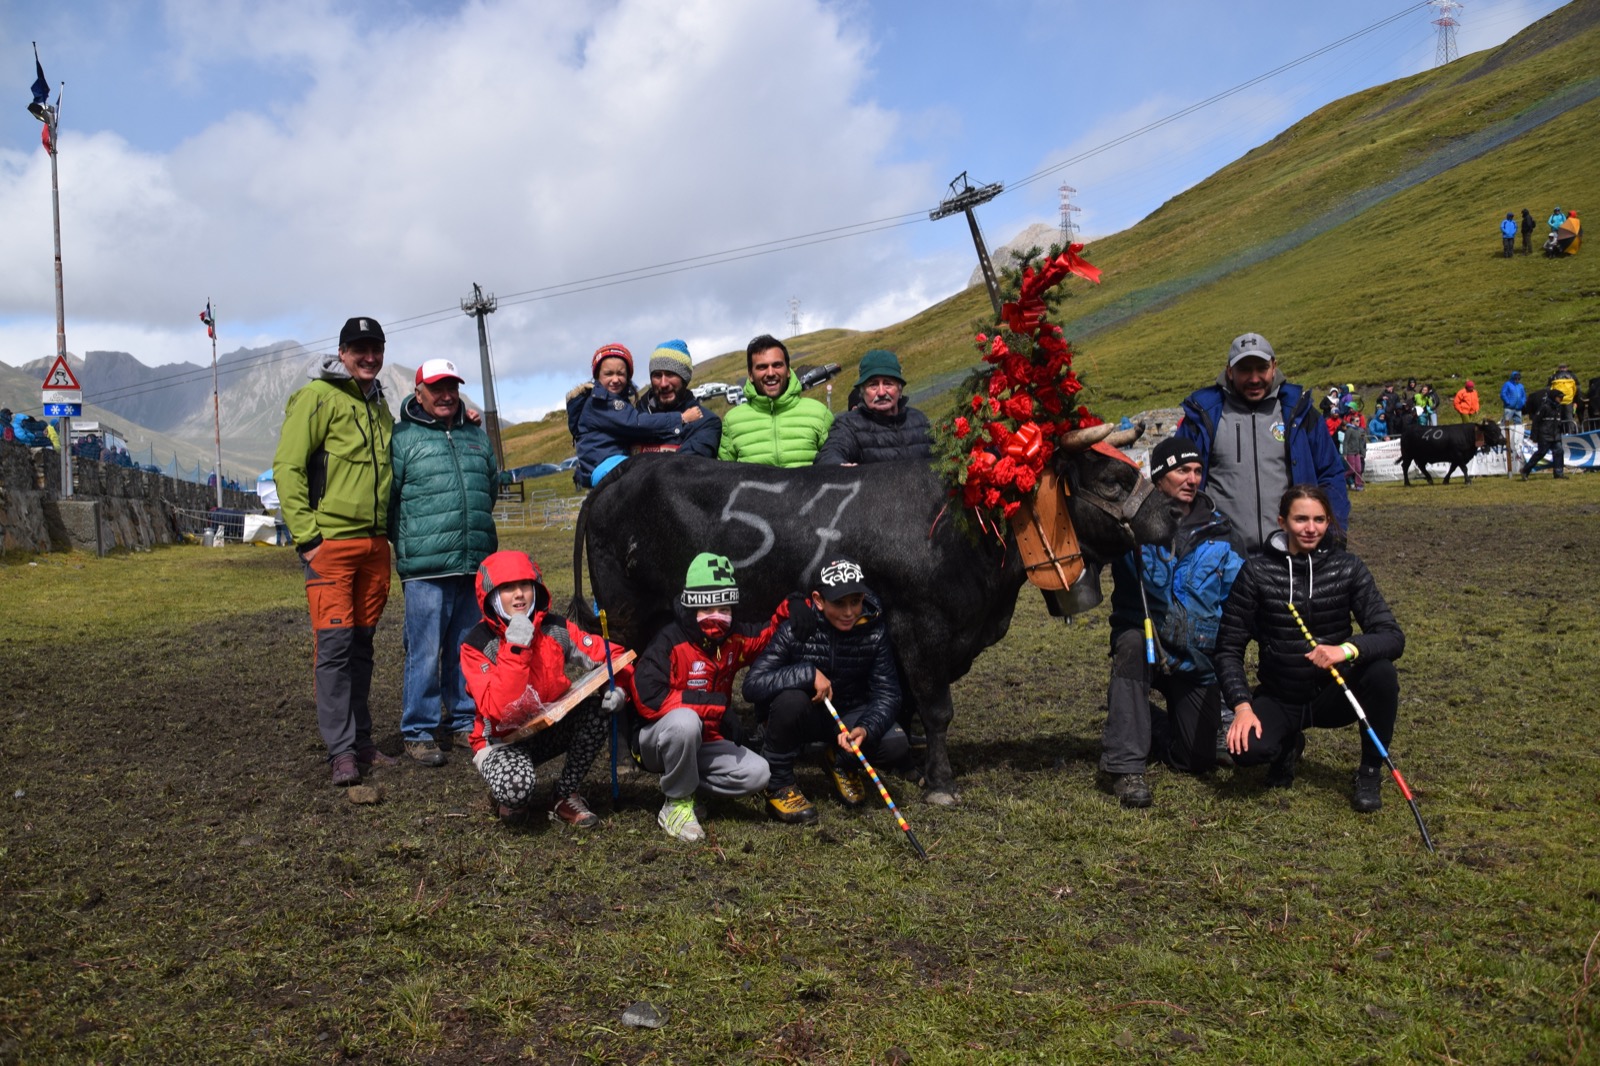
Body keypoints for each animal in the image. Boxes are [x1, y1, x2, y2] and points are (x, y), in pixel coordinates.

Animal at [569, 422, 1171, 797]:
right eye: (1113, 479)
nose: (1178, 510)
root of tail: (622, 472)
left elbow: (902, 704)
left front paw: (909, 763)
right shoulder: (920, 624)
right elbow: (936, 707)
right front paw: (941, 783)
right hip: (624, 610)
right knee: (625, 674)